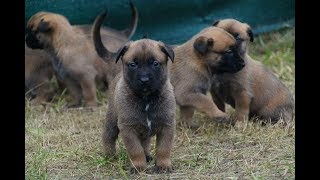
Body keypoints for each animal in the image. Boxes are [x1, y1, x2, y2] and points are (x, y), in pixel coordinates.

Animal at [102, 39, 176, 173]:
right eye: (133, 64)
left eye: (155, 63)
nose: (144, 80)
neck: (146, 99)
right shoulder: (128, 128)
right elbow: (135, 150)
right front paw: (138, 166)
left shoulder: (167, 126)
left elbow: (163, 148)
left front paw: (163, 165)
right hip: (112, 119)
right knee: (108, 136)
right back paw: (110, 156)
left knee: (145, 142)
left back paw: (147, 156)